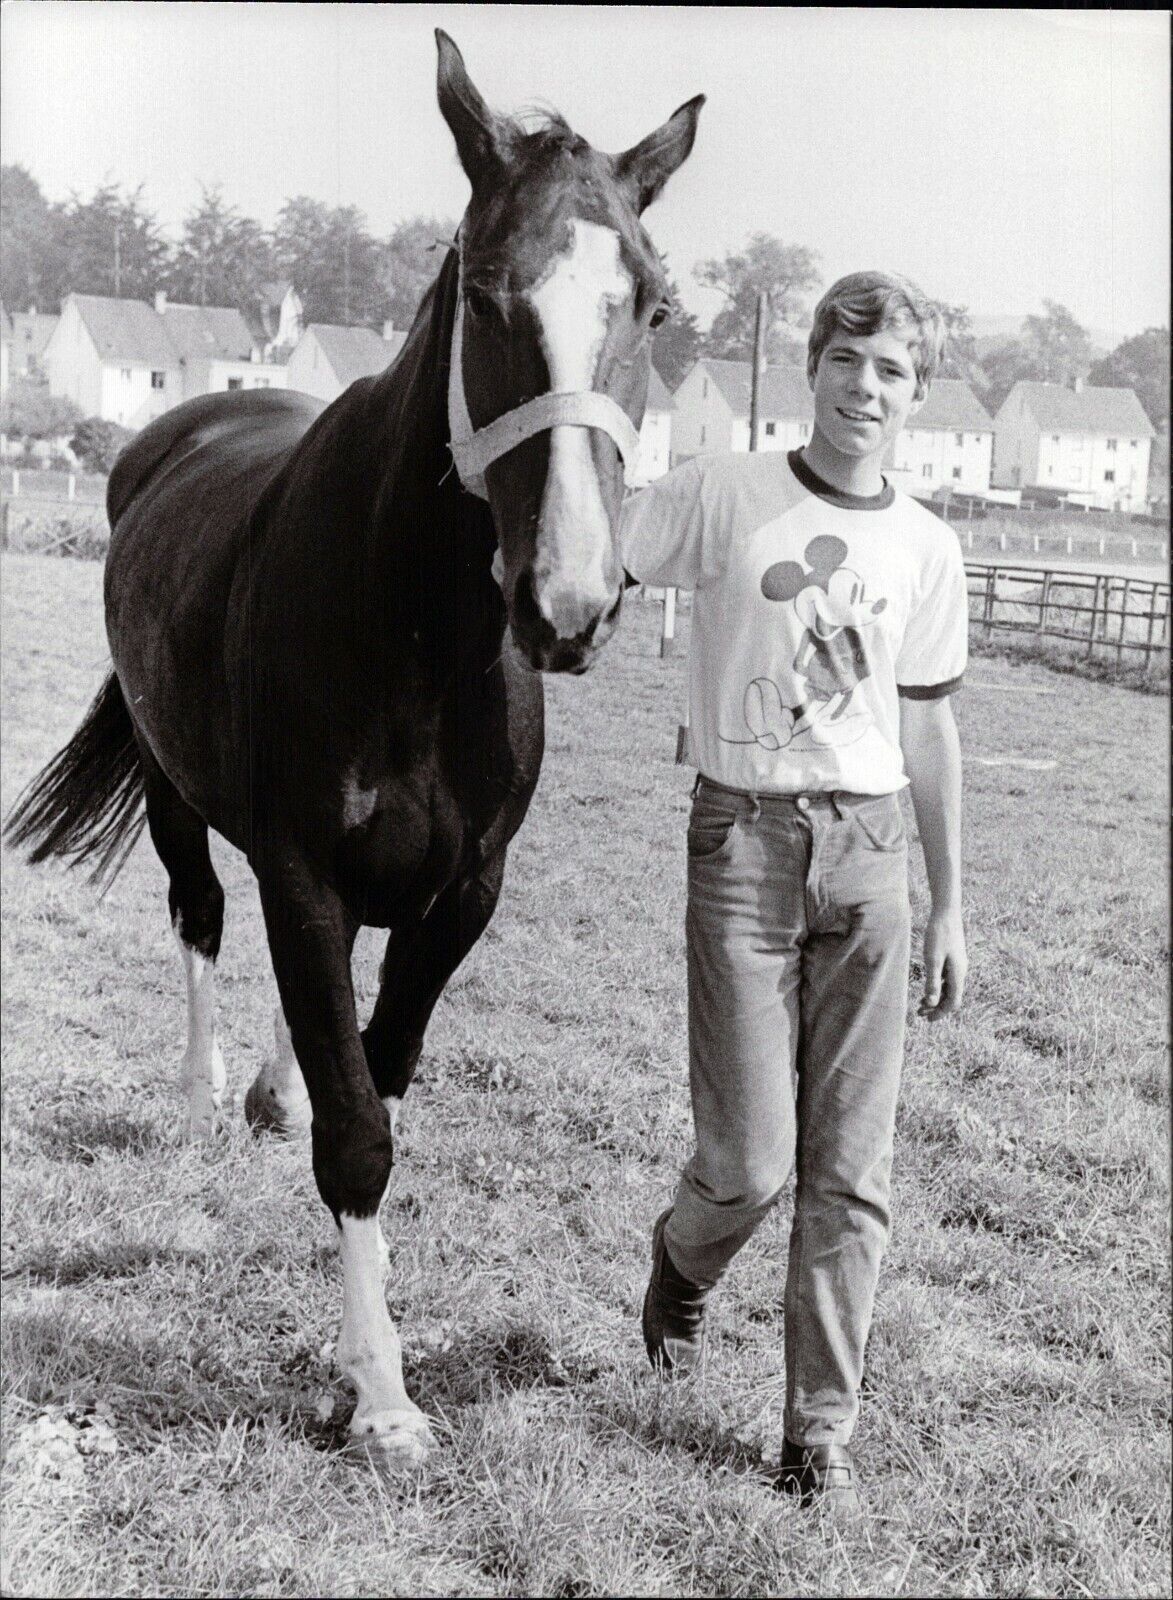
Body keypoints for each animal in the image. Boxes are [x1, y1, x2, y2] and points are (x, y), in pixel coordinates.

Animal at [4, 31, 700, 1465]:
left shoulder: (462, 892)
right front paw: (380, 1396)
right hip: (179, 801)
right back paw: (210, 1093)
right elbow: (357, 1133)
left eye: (651, 307)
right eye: (488, 296)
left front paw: (355, 1335)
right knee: (202, 917)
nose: (569, 602)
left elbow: (373, 1083)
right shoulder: (304, 872)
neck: (420, 631)